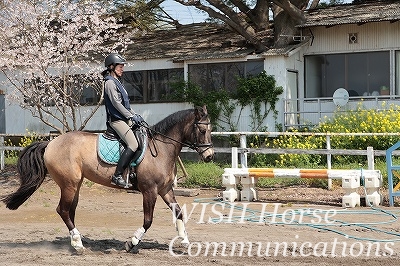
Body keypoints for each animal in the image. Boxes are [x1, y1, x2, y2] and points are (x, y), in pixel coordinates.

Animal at [1, 105, 214, 254]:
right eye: (203, 131)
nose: (210, 156)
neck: (161, 149)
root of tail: (51, 143)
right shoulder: (150, 191)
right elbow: (148, 220)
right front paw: (131, 243)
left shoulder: (165, 190)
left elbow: (179, 213)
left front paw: (185, 241)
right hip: (69, 184)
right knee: (62, 210)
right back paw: (78, 245)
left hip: (75, 184)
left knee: (70, 211)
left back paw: (78, 240)